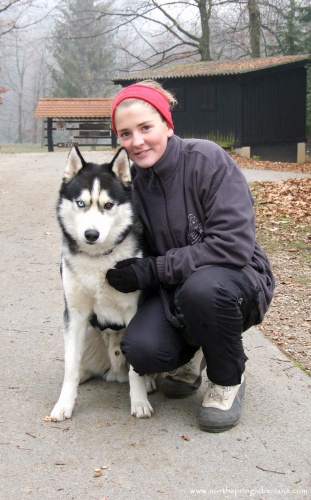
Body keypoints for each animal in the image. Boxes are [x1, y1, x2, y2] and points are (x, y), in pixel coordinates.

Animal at [50, 146, 156, 422]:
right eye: (81, 203)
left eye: (108, 205)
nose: (91, 234)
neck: (98, 259)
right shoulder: (75, 314)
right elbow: (70, 366)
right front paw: (64, 404)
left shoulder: (132, 312)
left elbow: (135, 370)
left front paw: (139, 401)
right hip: (87, 332)